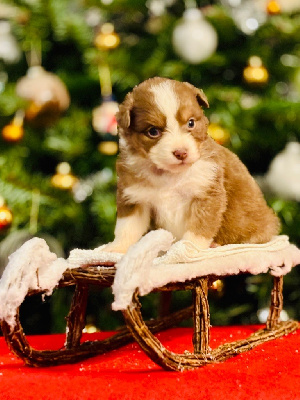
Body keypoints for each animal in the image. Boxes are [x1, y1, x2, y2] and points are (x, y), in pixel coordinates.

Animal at [104, 77, 280, 253]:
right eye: (153, 131)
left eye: (190, 123)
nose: (181, 153)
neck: (169, 175)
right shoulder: (134, 196)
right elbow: (127, 227)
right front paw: (116, 248)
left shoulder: (206, 193)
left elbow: (199, 228)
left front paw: (189, 249)